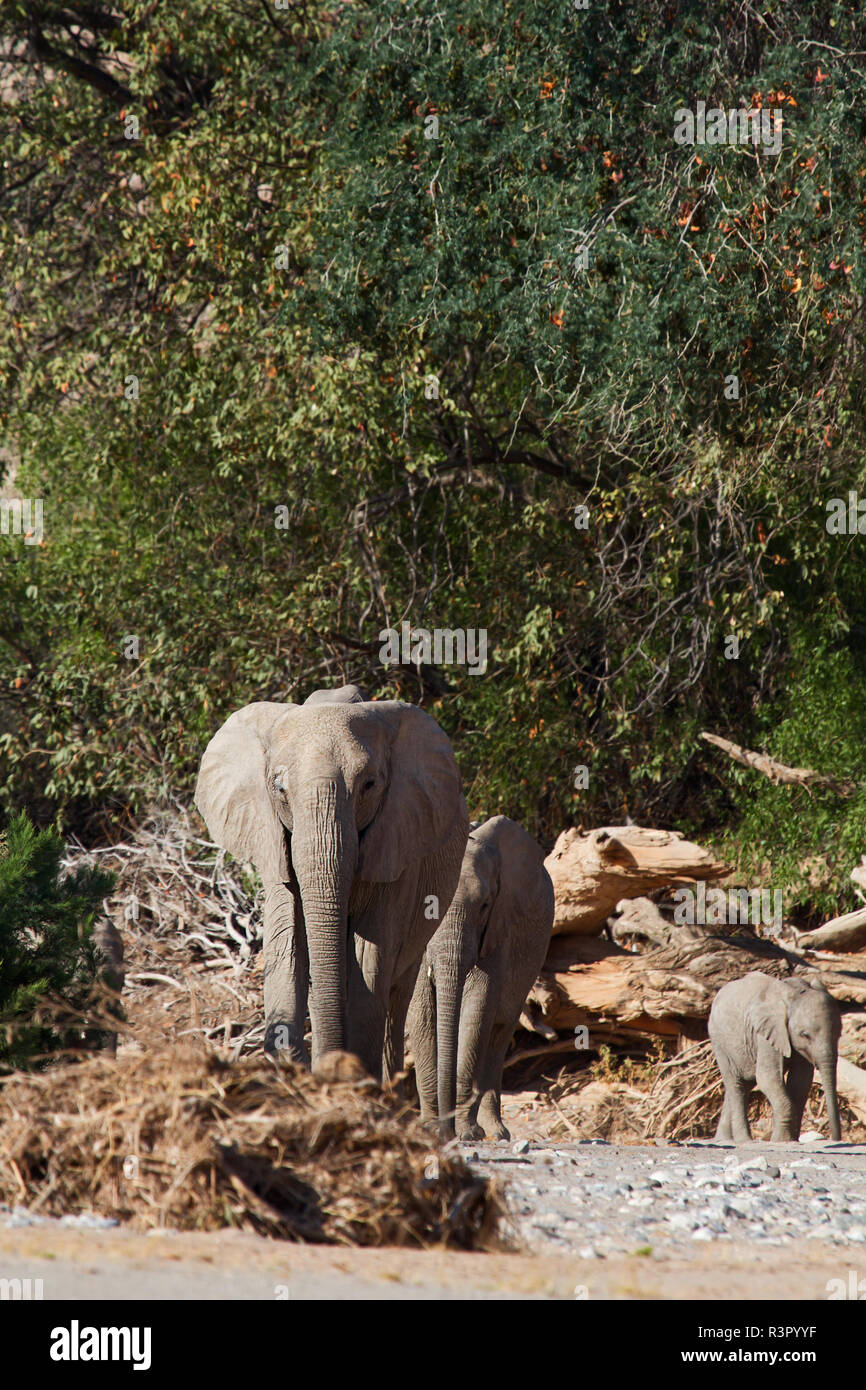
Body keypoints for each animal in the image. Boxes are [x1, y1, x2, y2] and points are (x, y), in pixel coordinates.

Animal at [195, 689, 467, 1078]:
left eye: (369, 785)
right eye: (279, 788)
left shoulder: (398, 842)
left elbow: (369, 958)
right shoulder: (275, 844)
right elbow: (288, 945)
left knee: (396, 992)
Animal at [408, 811, 556, 1139]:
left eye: (485, 905)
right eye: (425, 904)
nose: (446, 1132)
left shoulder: (501, 924)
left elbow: (479, 1004)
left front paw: (467, 1133)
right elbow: (420, 1010)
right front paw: (430, 1129)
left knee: (499, 1033)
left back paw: (497, 1132)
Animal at [711, 973, 839, 1145]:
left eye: (839, 1034)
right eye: (805, 1035)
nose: (836, 1140)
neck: (794, 993)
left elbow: (801, 1082)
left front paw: (791, 1139)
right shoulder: (766, 1033)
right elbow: (767, 1078)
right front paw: (781, 1141)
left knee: (742, 1085)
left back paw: (723, 1139)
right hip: (720, 1043)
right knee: (736, 1084)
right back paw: (744, 1140)